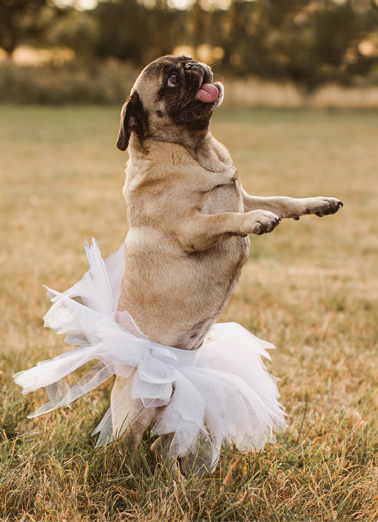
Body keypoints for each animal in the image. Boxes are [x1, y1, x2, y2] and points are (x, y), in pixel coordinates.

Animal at [111, 54, 342, 466]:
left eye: (184, 62)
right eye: (172, 81)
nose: (193, 64)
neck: (196, 150)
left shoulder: (245, 197)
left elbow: (282, 200)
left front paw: (317, 203)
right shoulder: (190, 228)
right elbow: (223, 220)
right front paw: (255, 223)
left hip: (180, 407)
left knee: (162, 444)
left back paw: (173, 475)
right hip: (139, 405)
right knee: (132, 443)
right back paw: (132, 471)